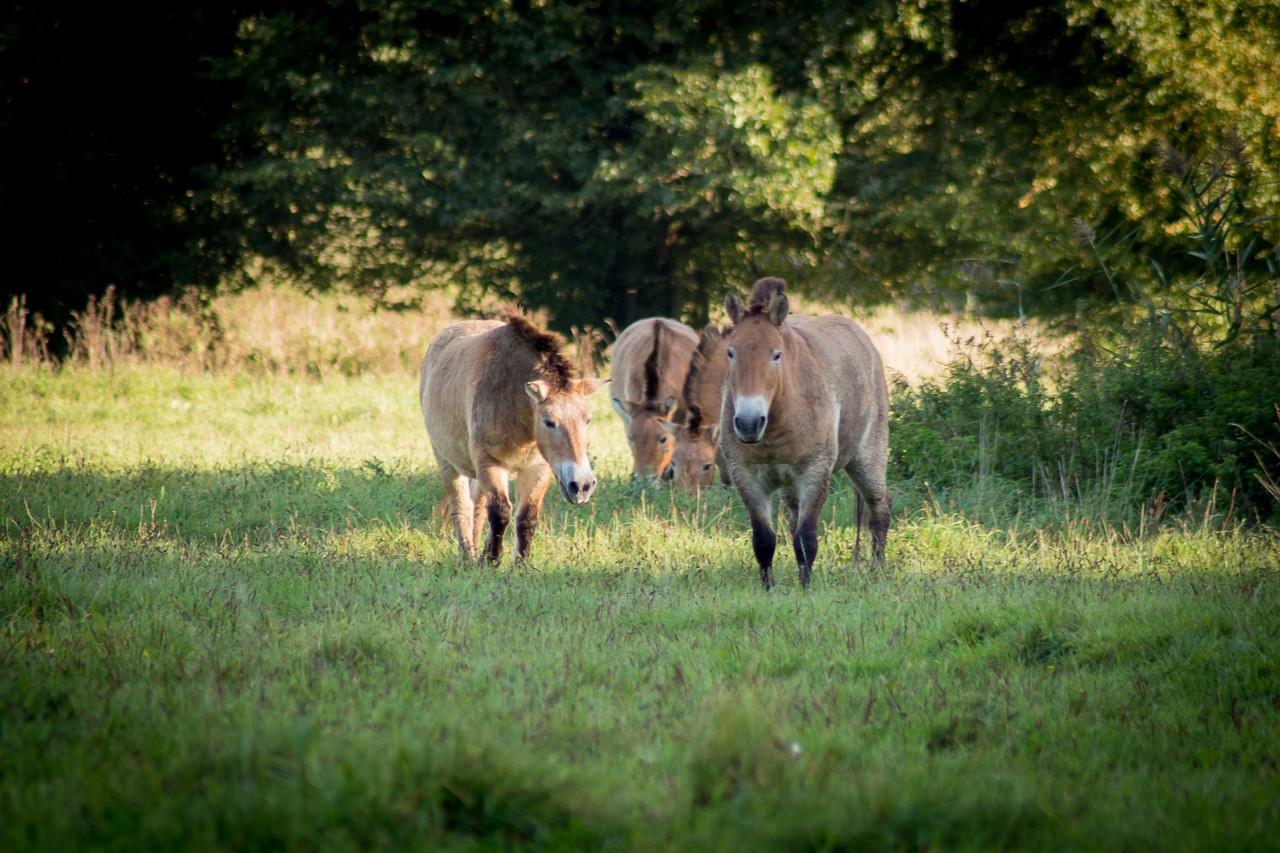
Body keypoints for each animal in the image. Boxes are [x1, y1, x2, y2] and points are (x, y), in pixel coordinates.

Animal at [420, 314, 608, 564]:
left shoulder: (537, 468)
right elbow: (500, 512)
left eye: (587, 420)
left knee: (477, 508)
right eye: (549, 422)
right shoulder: (491, 463)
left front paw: (520, 564)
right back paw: (468, 556)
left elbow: (527, 517)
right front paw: (491, 561)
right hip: (447, 462)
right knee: (461, 507)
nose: (581, 486)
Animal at [719, 277, 890, 589]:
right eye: (730, 352)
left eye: (777, 355)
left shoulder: (814, 474)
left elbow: (806, 538)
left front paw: (806, 589)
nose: (748, 423)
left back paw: (878, 570)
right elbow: (764, 541)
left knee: (879, 510)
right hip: (791, 488)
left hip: (867, 460)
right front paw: (769, 588)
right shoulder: (747, 478)